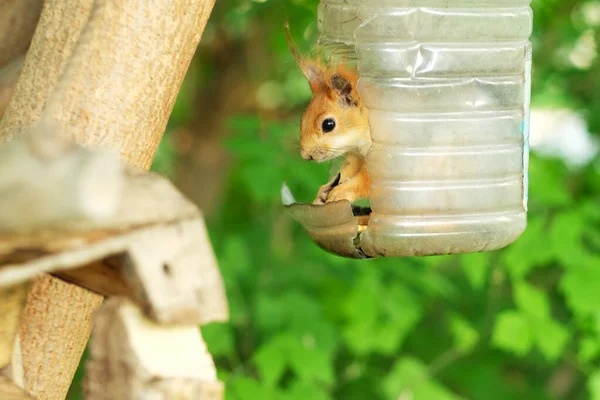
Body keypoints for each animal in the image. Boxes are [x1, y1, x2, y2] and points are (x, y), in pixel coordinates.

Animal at [284, 24, 372, 205]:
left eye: (328, 125)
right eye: (302, 119)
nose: (306, 156)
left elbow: (365, 182)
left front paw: (341, 192)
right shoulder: (355, 155)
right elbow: (346, 172)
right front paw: (322, 192)